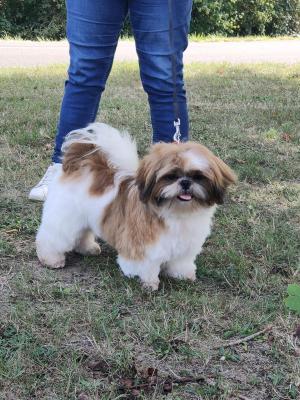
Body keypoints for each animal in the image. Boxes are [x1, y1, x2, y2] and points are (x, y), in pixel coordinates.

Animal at [35, 123, 237, 290]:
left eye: (198, 176)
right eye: (171, 176)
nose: (185, 182)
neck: (176, 213)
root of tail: (81, 164)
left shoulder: (185, 246)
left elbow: (181, 262)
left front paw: (183, 275)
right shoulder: (142, 244)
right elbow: (145, 265)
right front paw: (149, 282)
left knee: (82, 233)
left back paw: (87, 248)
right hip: (65, 217)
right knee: (53, 237)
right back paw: (51, 259)